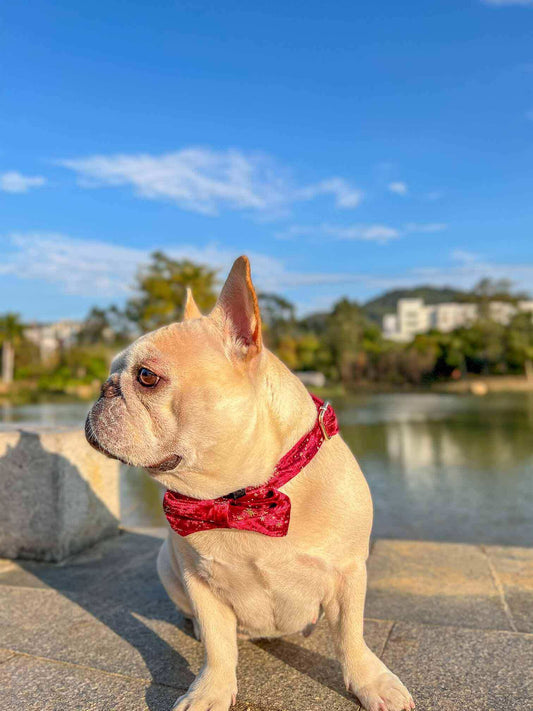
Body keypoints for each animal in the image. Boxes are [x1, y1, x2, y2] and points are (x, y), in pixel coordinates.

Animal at [86, 258, 412, 711]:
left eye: (146, 376)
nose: (103, 389)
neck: (244, 494)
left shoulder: (348, 572)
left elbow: (350, 635)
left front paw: (371, 682)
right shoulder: (199, 581)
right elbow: (218, 646)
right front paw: (210, 690)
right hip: (165, 563)